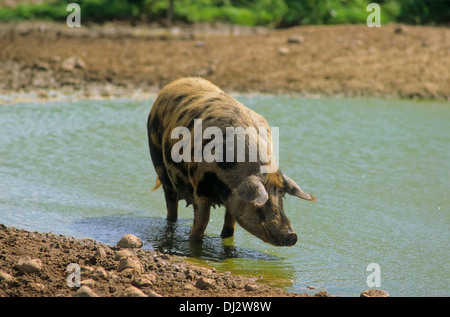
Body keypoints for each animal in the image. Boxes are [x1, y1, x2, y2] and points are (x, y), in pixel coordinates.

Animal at [146, 78, 314, 246]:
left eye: (282, 196)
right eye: (261, 203)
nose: (292, 235)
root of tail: (175, 82)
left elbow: (230, 224)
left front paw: (226, 237)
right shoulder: (200, 185)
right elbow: (202, 221)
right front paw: (193, 241)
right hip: (157, 155)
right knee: (170, 201)